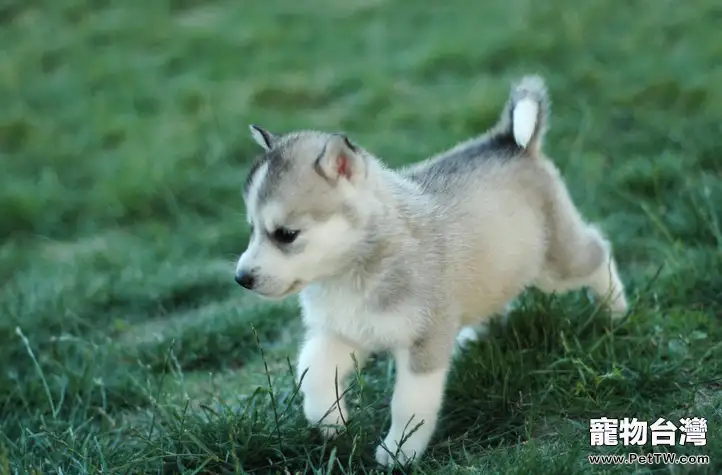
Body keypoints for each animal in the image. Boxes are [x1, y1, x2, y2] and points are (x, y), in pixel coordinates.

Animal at [235, 76, 624, 466]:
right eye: (251, 229)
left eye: (286, 234)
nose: (242, 278)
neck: (353, 271)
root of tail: (509, 142)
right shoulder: (344, 330)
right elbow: (312, 370)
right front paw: (329, 421)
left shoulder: (423, 343)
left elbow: (409, 404)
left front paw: (398, 452)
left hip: (555, 267)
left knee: (598, 251)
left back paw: (615, 310)